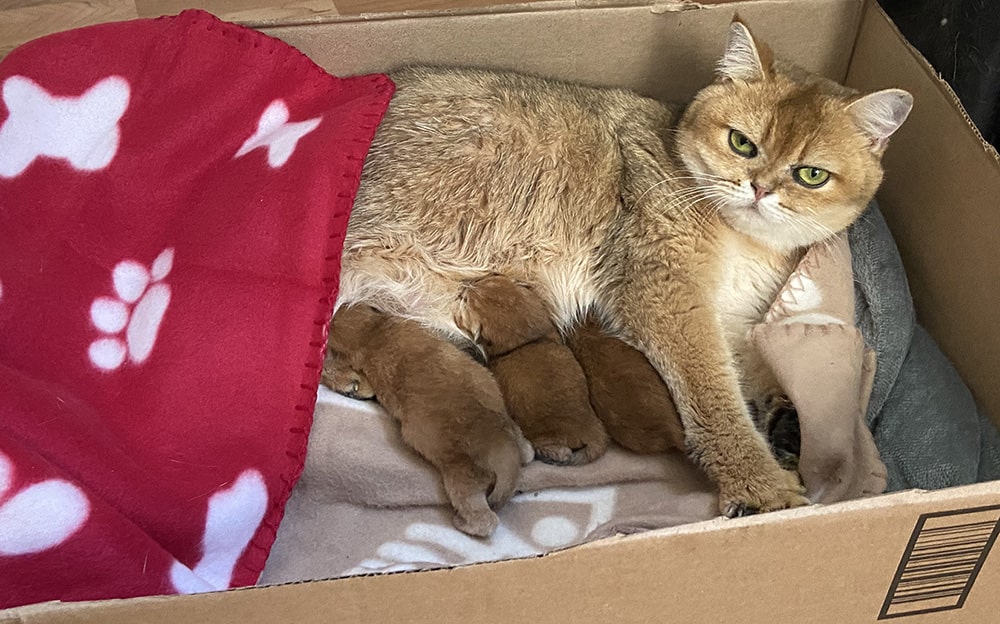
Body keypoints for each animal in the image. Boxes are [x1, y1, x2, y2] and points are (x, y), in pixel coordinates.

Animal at [338, 22, 916, 516]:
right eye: (742, 143)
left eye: (811, 175)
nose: (760, 189)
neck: (748, 243)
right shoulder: (667, 294)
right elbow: (714, 393)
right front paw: (758, 484)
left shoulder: (731, 317)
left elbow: (751, 368)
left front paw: (785, 422)